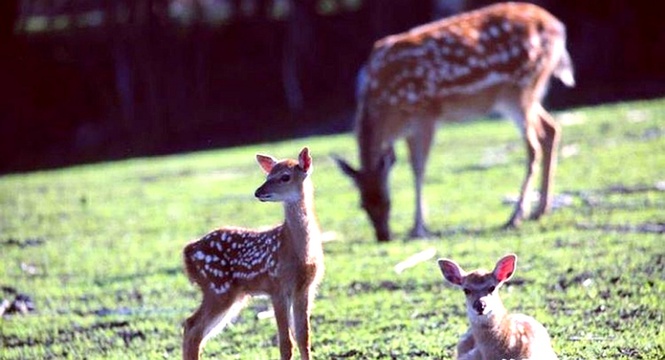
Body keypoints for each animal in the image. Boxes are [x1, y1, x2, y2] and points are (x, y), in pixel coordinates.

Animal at [182, 148, 324, 358]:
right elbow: (286, 343)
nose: (258, 192)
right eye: (268, 175)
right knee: (192, 326)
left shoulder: (305, 288)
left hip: (231, 294)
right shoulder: (276, 285)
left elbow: (303, 338)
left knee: (193, 328)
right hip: (218, 288)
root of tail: (188, 251)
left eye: (285, 176)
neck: (297, 250)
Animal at [334, 2, 572, 242]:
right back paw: (541, 210)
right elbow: (413, 167)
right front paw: (417, 226)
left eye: (387, 201)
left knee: (533, 146)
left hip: (521, 87)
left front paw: (418, 228)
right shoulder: (410, 127)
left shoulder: (425, 114)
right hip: (521, 95)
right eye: (362, 205)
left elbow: (418, 169)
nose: (383, 236)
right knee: (551, 129)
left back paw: (516, 216)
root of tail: (558, 26)